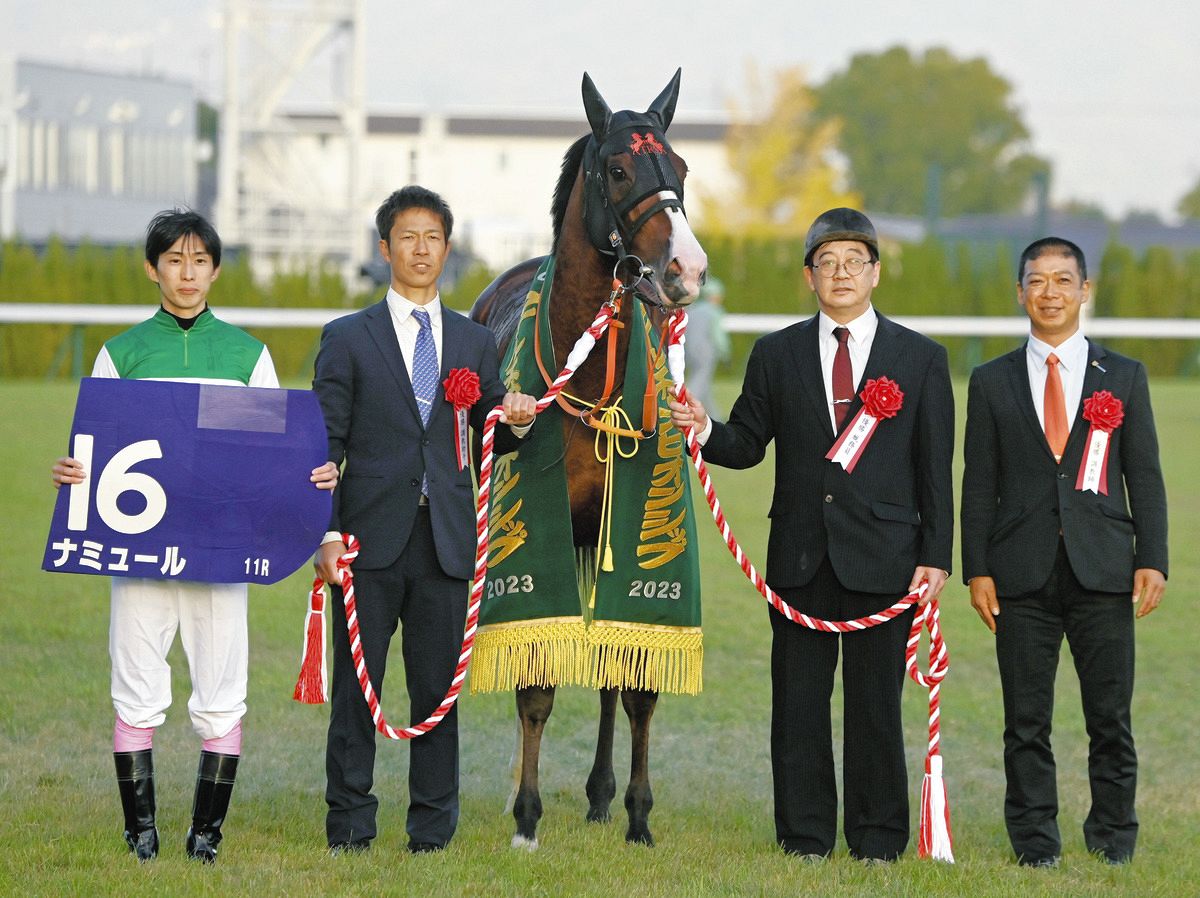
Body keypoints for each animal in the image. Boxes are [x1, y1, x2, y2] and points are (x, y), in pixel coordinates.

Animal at [468, 72, 705, 849]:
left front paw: (635, 811)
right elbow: (535, 684)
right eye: (620, 168)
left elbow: (631, 678)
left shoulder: (619, 530)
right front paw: (527, 814)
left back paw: (602, 795)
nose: (686, 268)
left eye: (681, 167)